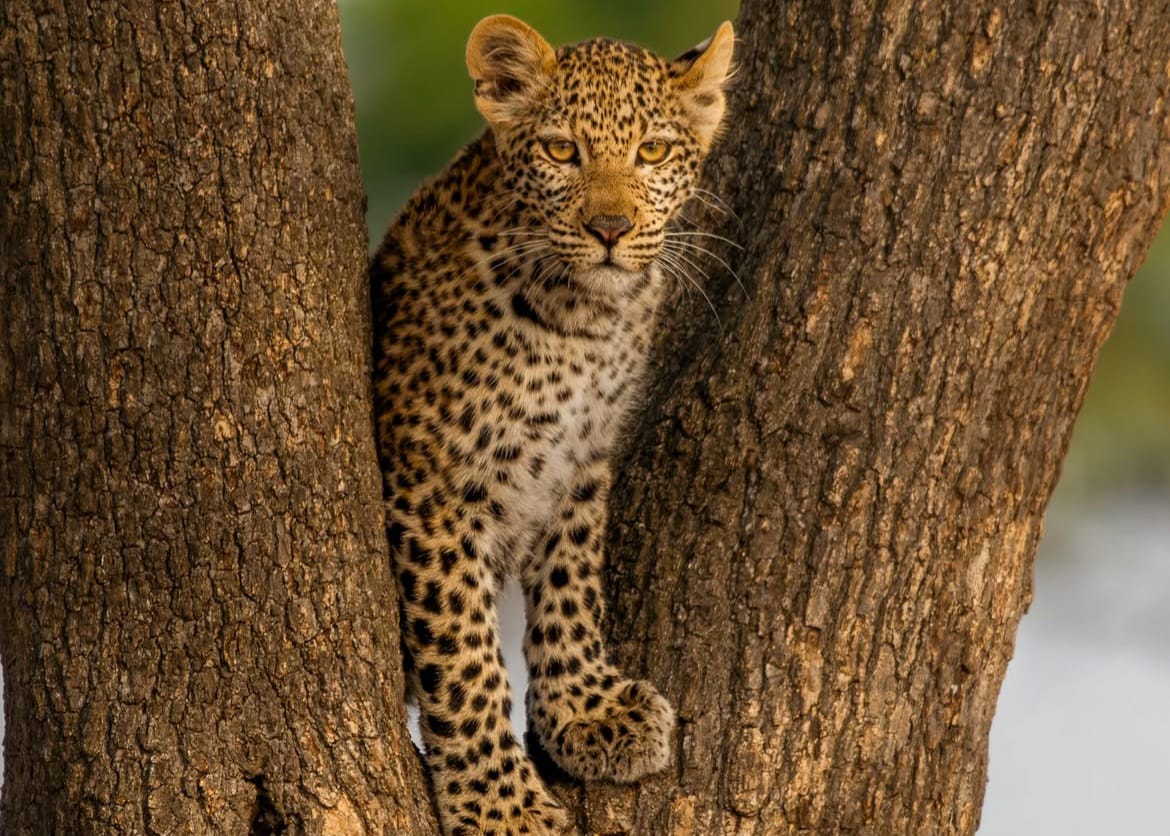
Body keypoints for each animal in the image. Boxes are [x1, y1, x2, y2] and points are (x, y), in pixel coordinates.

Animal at [370, 14, 735, 835]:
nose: (610, 228)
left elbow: (571, 584)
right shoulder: (434, 486)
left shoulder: (581, 458)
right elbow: (463, 651)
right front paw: (499, 805)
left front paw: (589, 713)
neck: (582, 322)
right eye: (562, 151)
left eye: (653, 152)